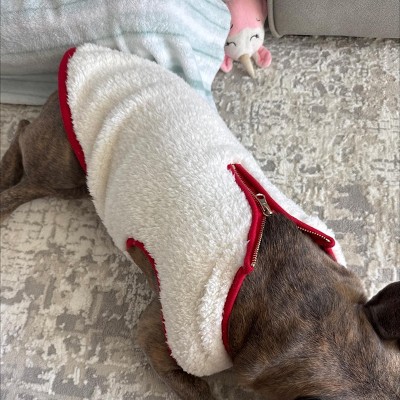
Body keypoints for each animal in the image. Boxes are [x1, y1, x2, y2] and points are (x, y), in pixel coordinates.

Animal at [1, 46, 399, 400]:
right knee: (22, 148)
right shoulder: (163, 334)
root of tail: (83, 52)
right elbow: (200, 390)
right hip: (63, 171)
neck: (299, 300)